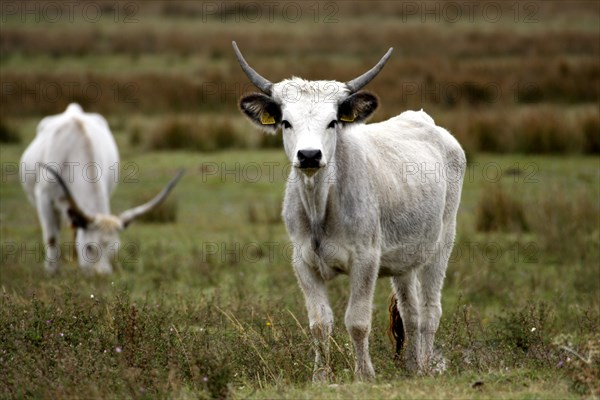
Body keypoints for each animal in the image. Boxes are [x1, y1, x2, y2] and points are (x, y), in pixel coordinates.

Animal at [20, 102, 183, 276]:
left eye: (115, 249)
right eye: (89, 247)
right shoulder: (44, 199)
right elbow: (51, 237)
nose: (103, 275)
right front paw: (52, 272)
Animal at [232, 43, 466, 382]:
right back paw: (411, 366)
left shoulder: (365, 259)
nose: (309, 155)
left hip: (442, 242)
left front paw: (364, 375)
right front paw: (320, 378)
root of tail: (425, 121)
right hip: (405, 258)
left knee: (429, 311)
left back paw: (424, 367)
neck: (320, 205)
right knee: (410, 312)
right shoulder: (302, 261)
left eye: (332, 122)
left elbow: (357, 321)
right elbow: (320, 324)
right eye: (286, 122)